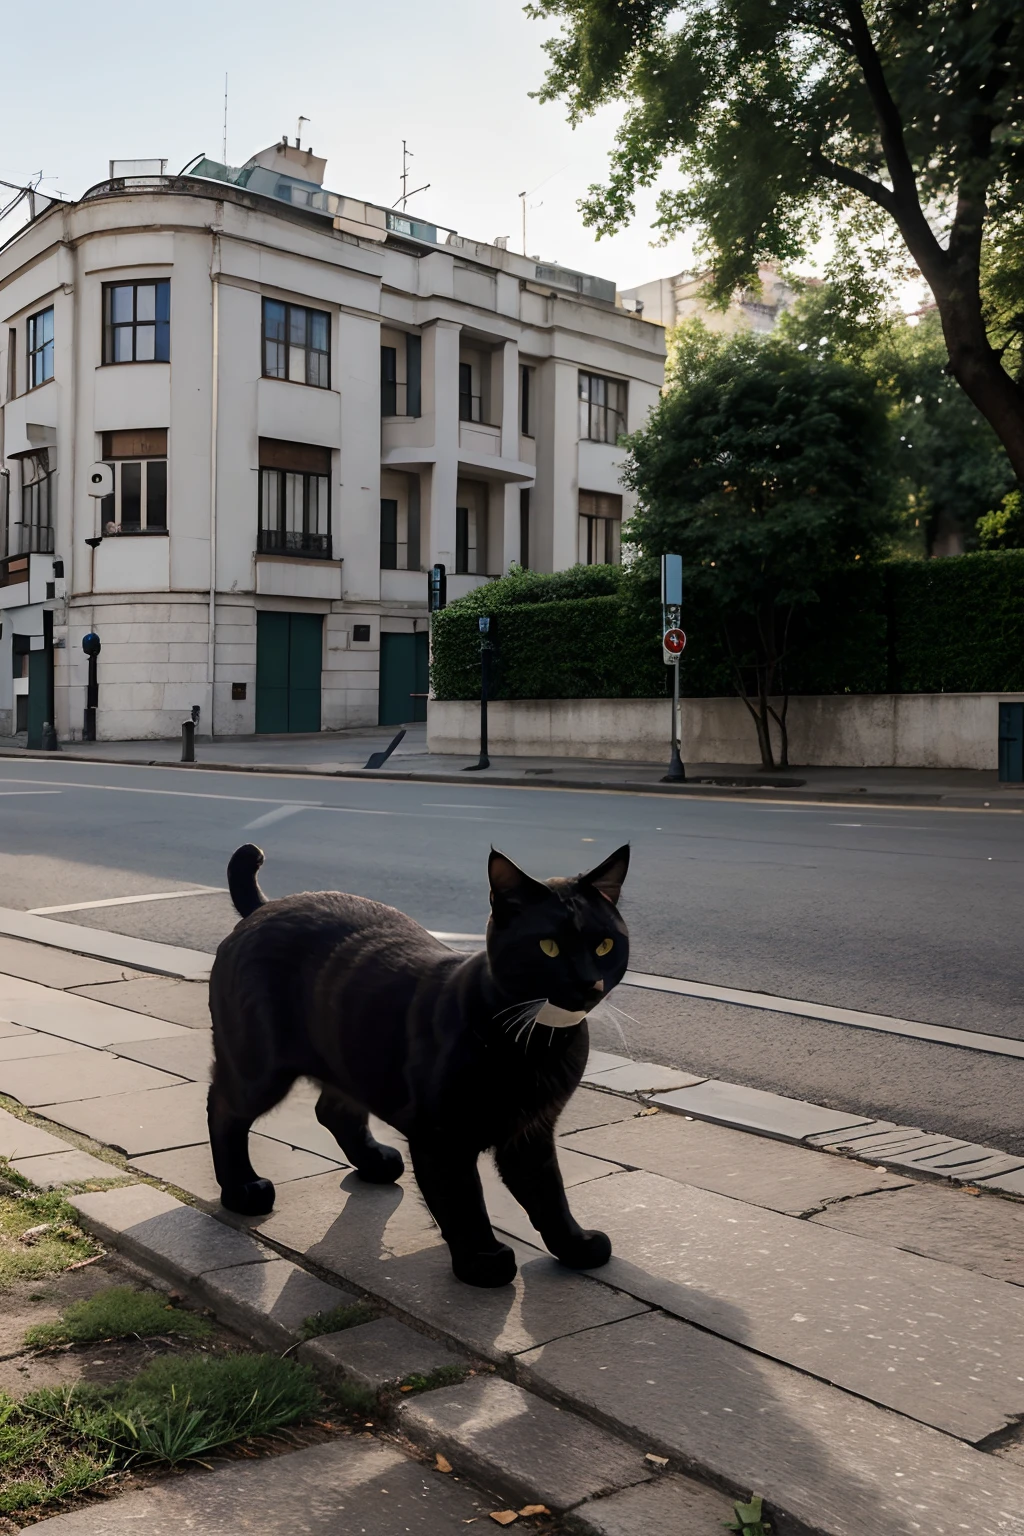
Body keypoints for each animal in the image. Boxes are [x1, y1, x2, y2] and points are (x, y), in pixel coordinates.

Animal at [208, 841, 629, 1284]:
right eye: (549, 947)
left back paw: (374, 1162)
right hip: (257, 1067)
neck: (536, 1041)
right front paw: (482, 1260)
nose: (588, 983)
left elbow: (548, 1195)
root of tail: (263, 907)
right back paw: (241, 1190)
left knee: (333, 1110)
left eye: (604, 946)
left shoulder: (530, 1132)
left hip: (351, 1052)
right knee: (223, 1110)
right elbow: (462, 1200)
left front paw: (574, 1246)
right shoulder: (441, 1138)